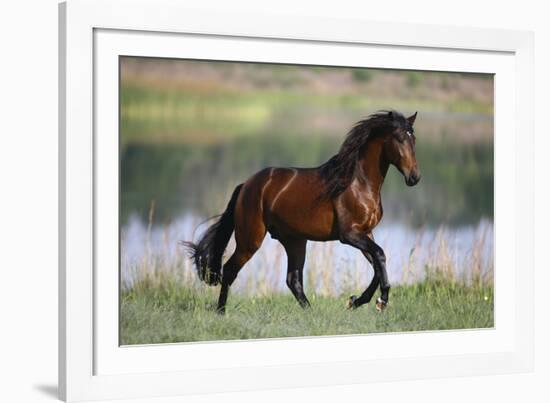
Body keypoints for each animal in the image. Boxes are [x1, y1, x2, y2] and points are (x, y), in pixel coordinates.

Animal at [185, 111, 422, 316]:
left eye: (414, 139)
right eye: (399, 138)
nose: (414, 177)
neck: (358, 183)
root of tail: (247, 185)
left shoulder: (366, 233)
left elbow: (377, 265)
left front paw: (356, 301)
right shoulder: (349, 235)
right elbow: (380, 256)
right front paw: (380, 301)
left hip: (295, 240)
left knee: (293, 280)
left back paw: (311, 312)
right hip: (250, 240)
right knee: (230, 270)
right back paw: (221, 312)